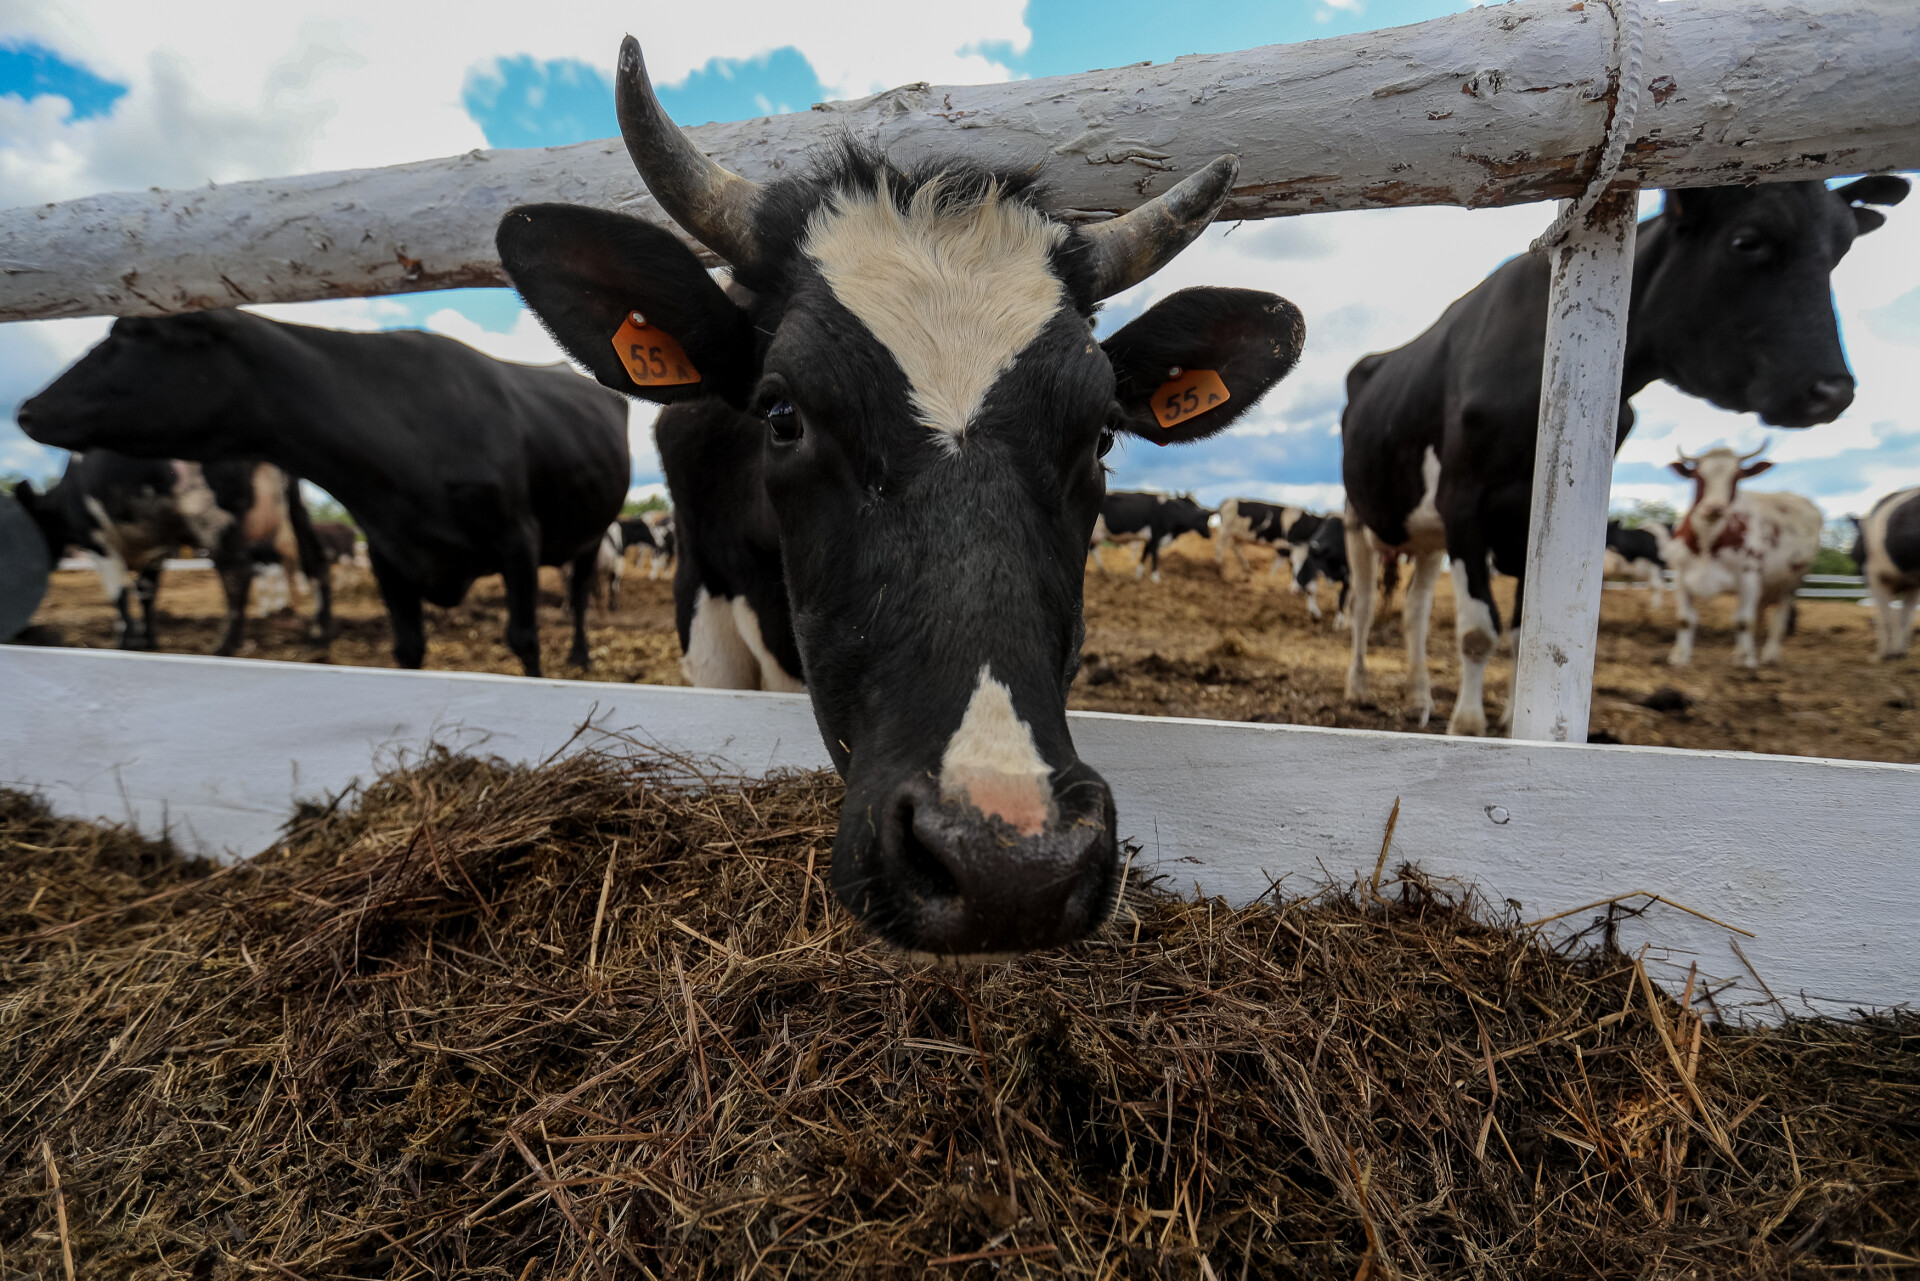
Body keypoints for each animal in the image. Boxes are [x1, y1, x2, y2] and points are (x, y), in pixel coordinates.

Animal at [16, 309, 629, 676]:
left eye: (130, 335)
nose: (26, 408)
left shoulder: (517, 540)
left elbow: (524, 638)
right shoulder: (386, 553)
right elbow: (408, 647)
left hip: (590, 534)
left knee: (578, 595)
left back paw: (580, 655)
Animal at [1666, 445, 1812, 672]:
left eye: (1737, 476)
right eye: (1698, 475)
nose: (1715, 507)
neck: (1708, 540)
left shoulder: (1749, 577)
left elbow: (1744, 620)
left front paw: (1746, 659)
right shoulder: (1680, 576)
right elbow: (1684, 619)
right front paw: (1679, 657)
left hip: (1790, 583)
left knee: (1779, 618)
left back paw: (1769, 655)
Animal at [1843, 483, 1920, 660]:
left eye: (1853, 552)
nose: (1856, 570)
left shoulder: (1875, 576)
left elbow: (1884, 617)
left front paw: (1879, 657)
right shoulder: (1913, 584)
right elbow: (1905, 618)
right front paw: (1900, 654)